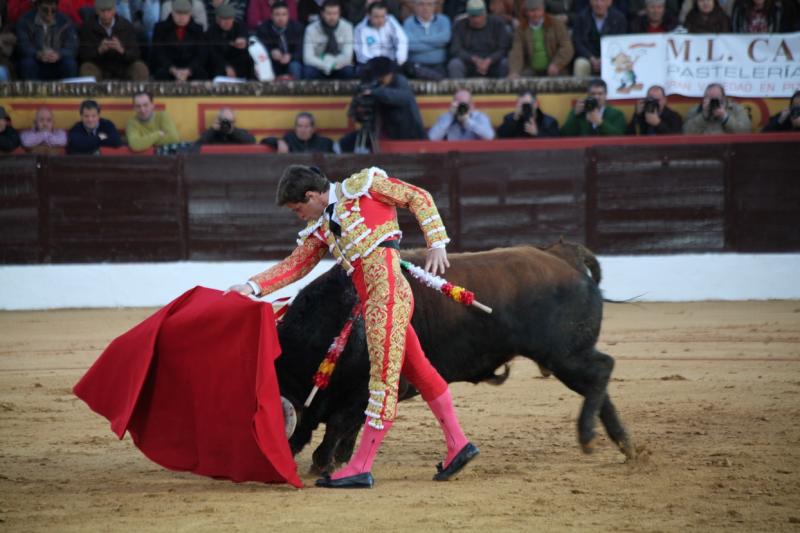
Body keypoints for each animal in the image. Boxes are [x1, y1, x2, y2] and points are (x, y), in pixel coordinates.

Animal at [272, 240, 636, 470]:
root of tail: (563, 255)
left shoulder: (369, 387)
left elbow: (340, 422)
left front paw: (323, 462)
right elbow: (351, 424)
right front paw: (338, 459)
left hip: (562, 354)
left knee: (602, 370)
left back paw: (589, 436)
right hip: (566, 357)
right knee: (597, 384)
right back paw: (624, 445)